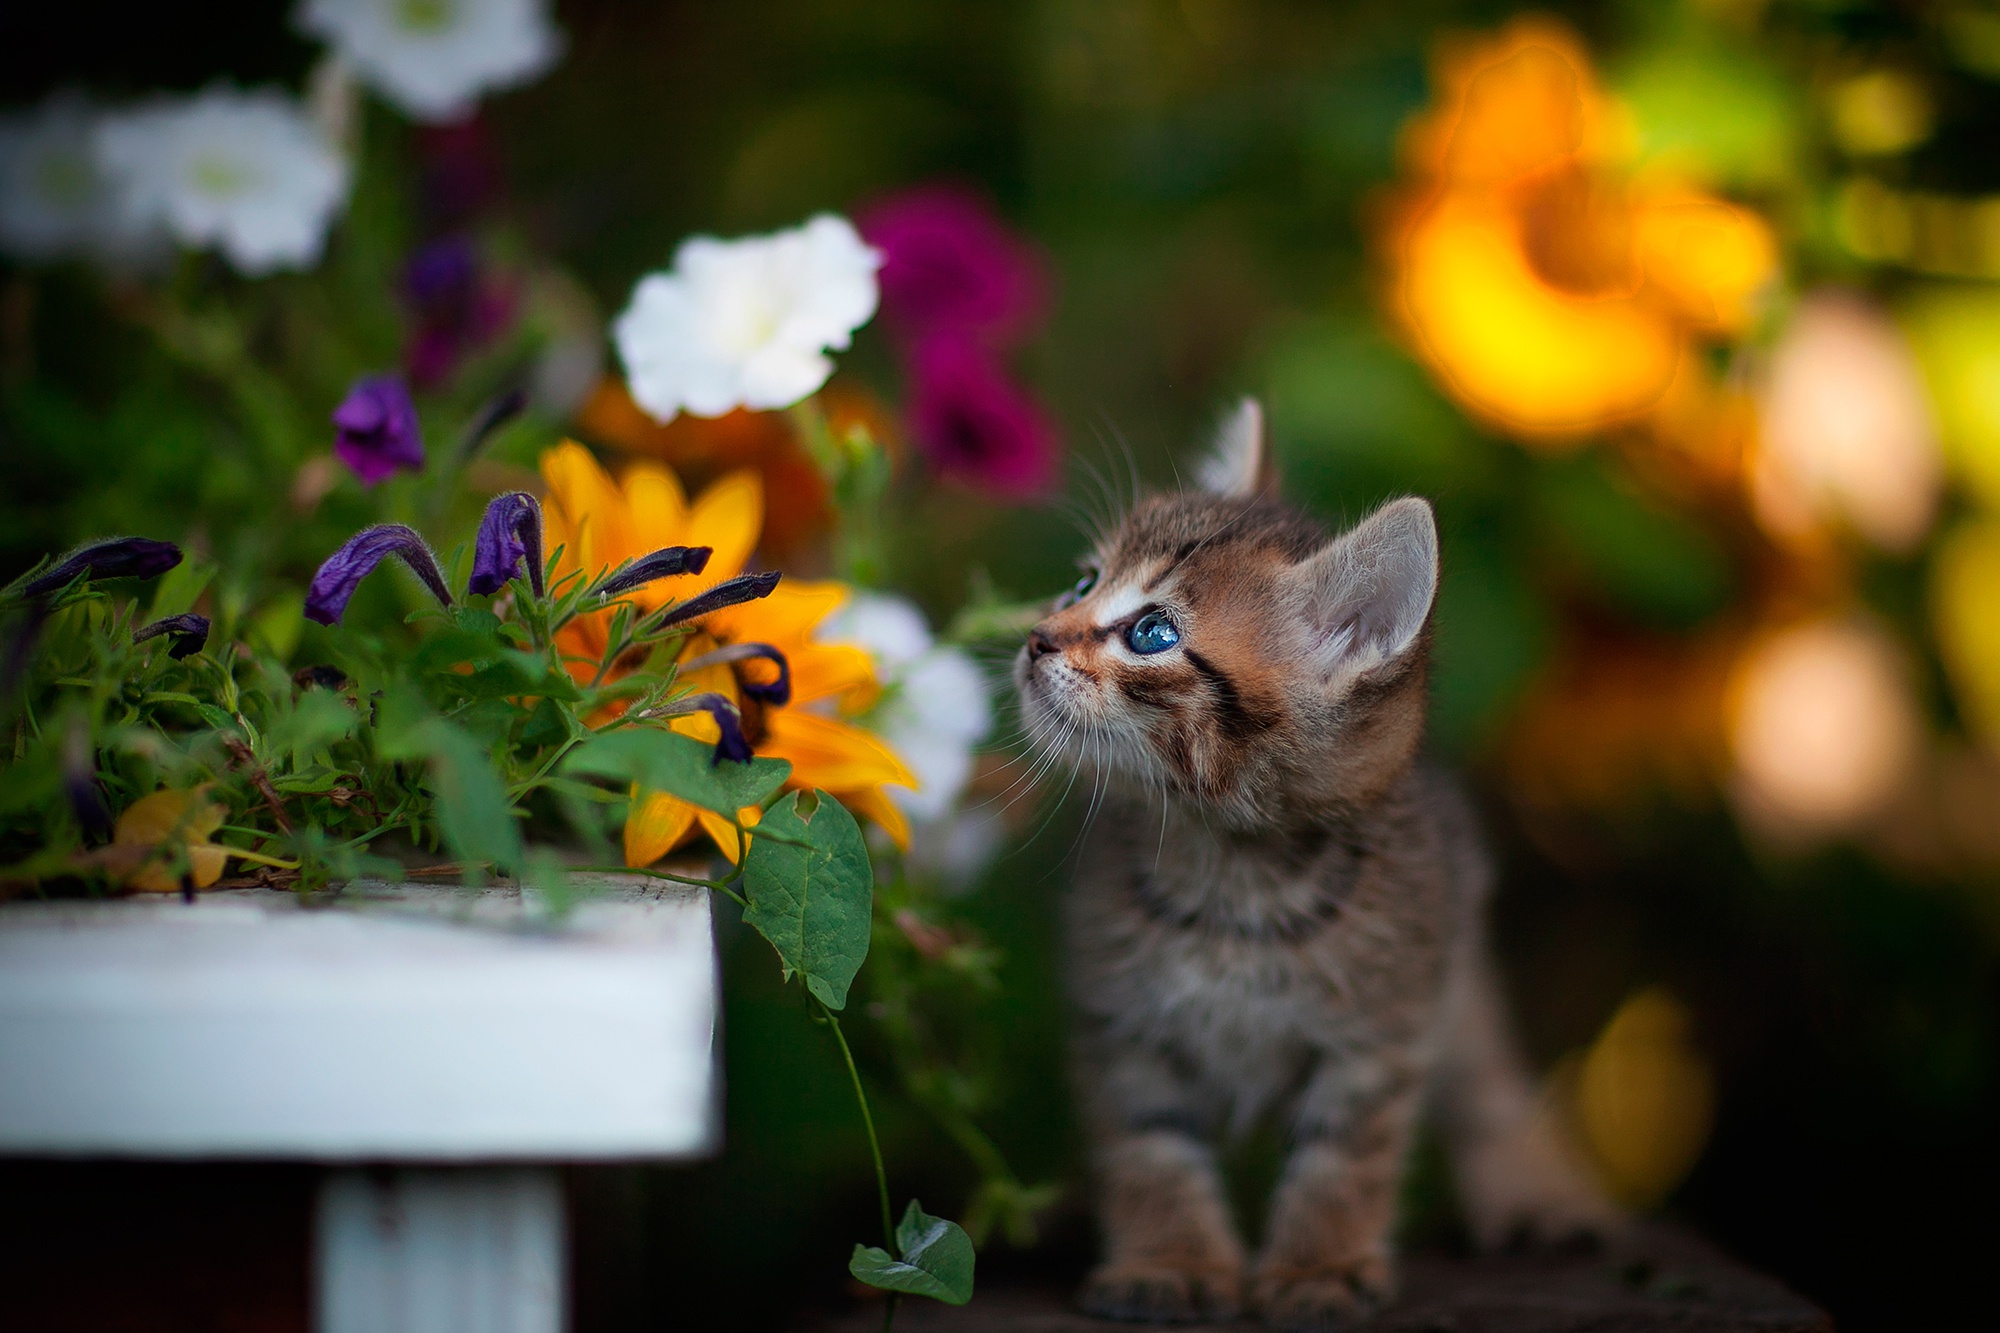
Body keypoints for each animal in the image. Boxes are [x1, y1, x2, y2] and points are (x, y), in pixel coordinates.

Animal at [1016, 402, 1608, 1320]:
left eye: (1153, 633)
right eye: (1084, 582)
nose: (1037, 637)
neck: (1232, 878)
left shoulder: (1379, 1037)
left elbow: (1343, 1159)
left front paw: (1316, 1269)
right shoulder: (1122, 1024)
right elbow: (1150, 1148)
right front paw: (1170, 1258)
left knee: (1487, 1075)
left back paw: (1535, 1191)